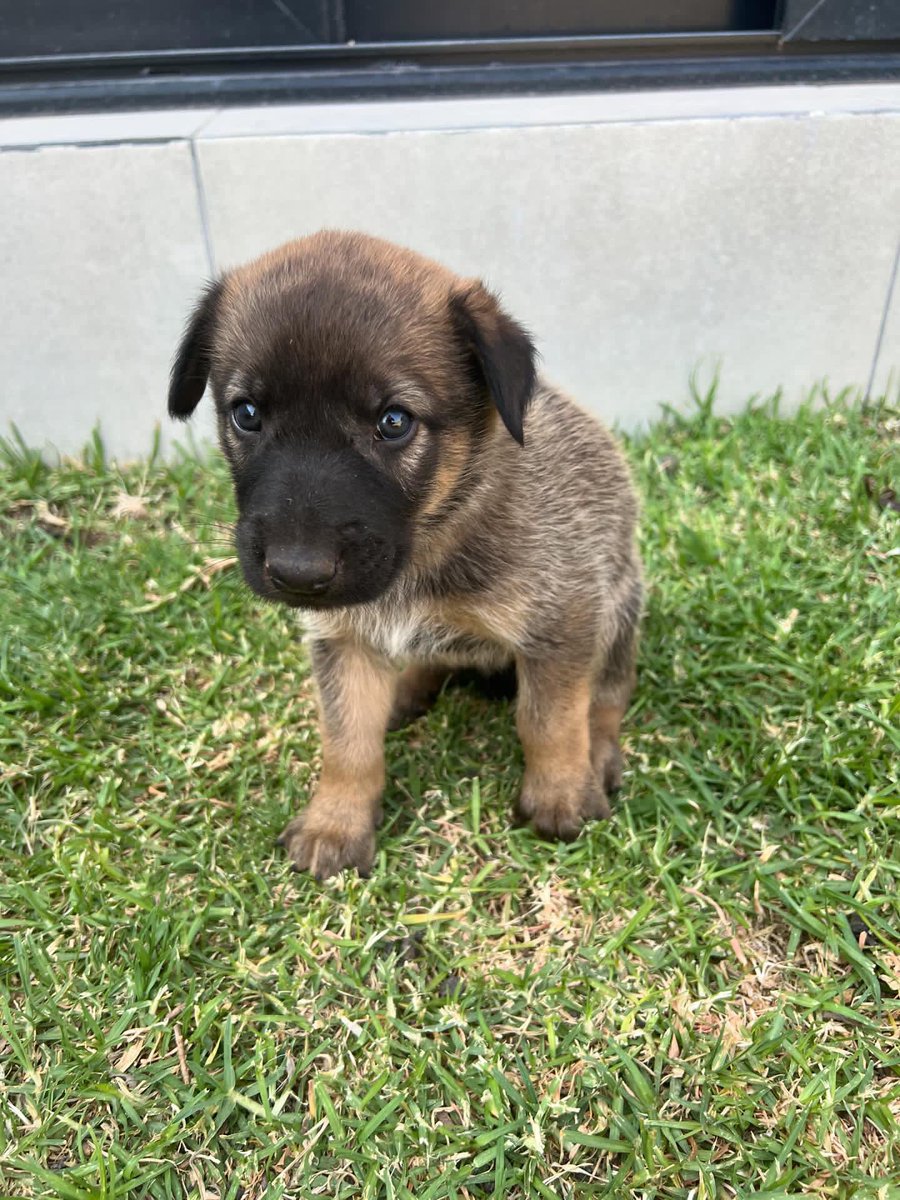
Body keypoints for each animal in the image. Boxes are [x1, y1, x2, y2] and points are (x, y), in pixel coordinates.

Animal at [168, 229, 643, 878]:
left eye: (394, 422)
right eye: (246, 414)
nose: (296, 574)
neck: (430, 541)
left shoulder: (562, 621)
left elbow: (550, 719)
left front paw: (561, 793)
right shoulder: (342, 640)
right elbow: (348, 745)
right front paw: (336, 823)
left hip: (620, 605)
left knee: (610, 693)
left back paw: (600, 754)